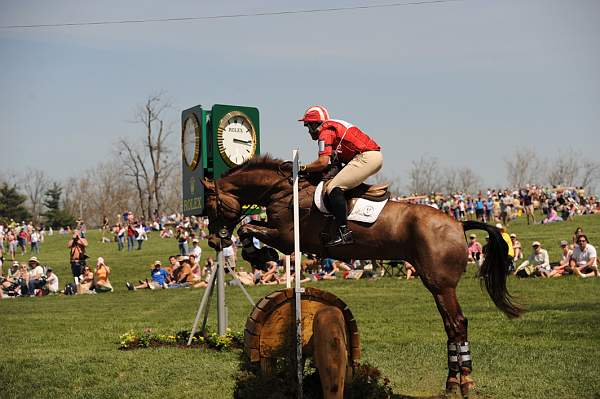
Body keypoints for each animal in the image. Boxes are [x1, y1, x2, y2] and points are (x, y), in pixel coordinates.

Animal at [202, 155, 520, 398]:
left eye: (211, 207)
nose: (214, 242)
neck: (283, 190)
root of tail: (457, 223)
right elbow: (249, 228)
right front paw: (258, 255)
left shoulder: (286, 237)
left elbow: (248, 229)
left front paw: (260, 255)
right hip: (434, 284)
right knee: (451, 326)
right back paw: (452, 382)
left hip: (442, 285)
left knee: (458, 323)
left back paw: (466, 382)